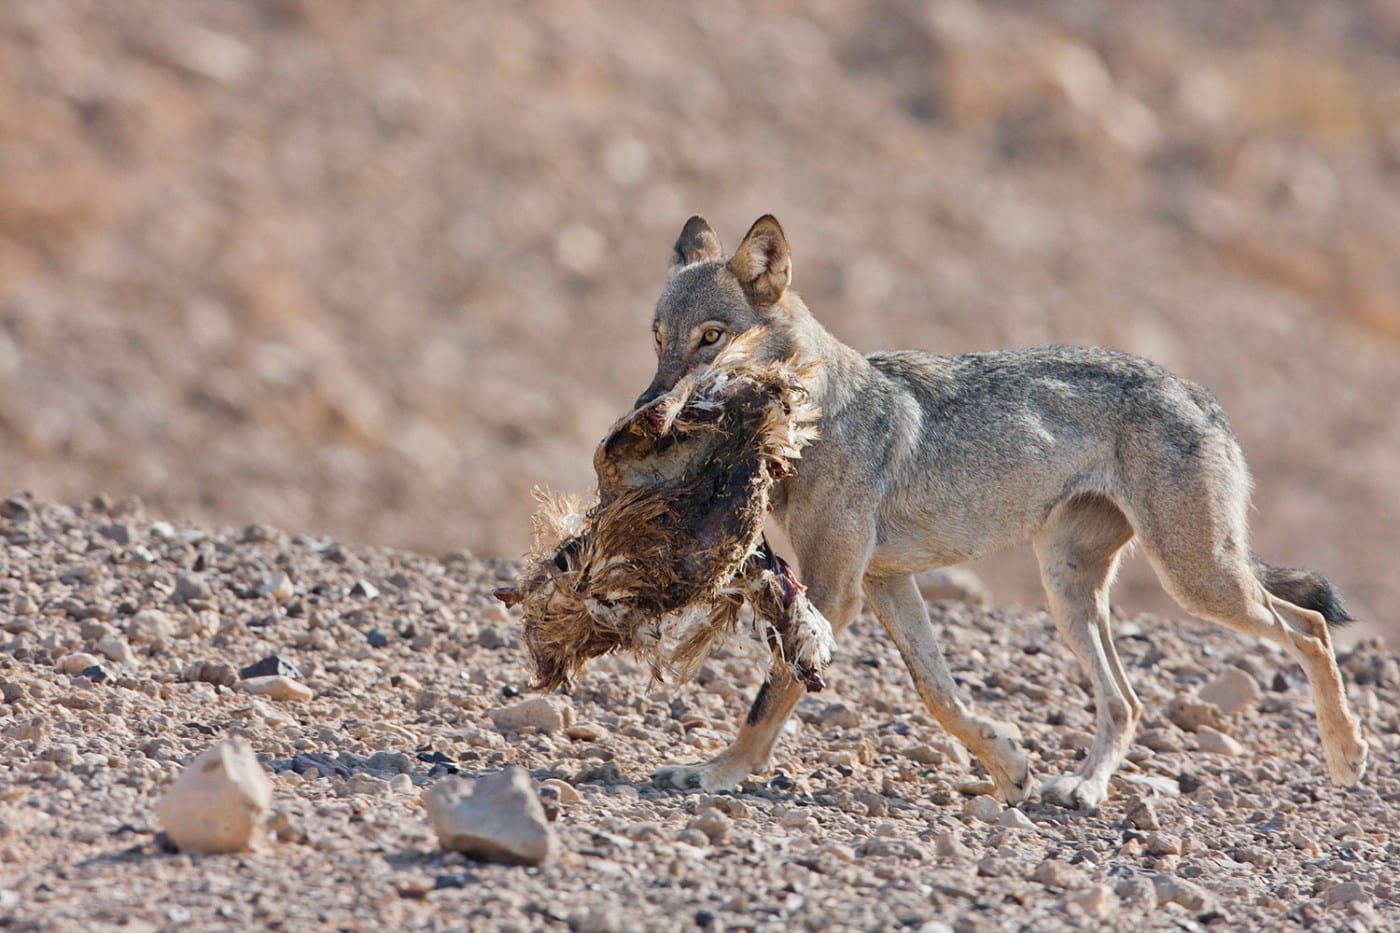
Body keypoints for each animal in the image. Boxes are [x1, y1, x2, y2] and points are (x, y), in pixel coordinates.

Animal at [635, 214, 1368, 808]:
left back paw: (1346, 754)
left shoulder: (835, 590)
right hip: (1070, 590)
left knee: (1308, 628)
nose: (650, 408)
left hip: (1196, 580)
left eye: (711, 338)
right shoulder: (884, 582)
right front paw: (1008, 766)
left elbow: (769, 699)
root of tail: (1196, 391)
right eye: (659, 338)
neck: (814, 414)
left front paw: (716, 772)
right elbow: (939, 694)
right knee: (1127, 701)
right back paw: (1084, 787)